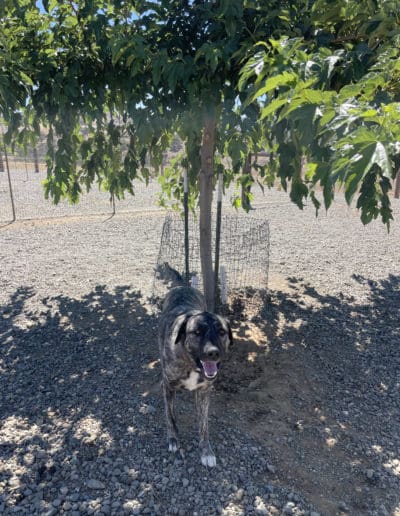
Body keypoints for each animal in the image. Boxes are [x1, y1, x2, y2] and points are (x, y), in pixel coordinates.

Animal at [158, 286, 233, 468]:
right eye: (197, 332)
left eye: (222, 332)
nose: (213, 353)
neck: (191, 364)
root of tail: (182, 286)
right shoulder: (167, 386)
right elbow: (170, 416)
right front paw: (173, 439)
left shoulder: (204, 392)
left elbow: (204, 425)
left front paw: (206, 451)